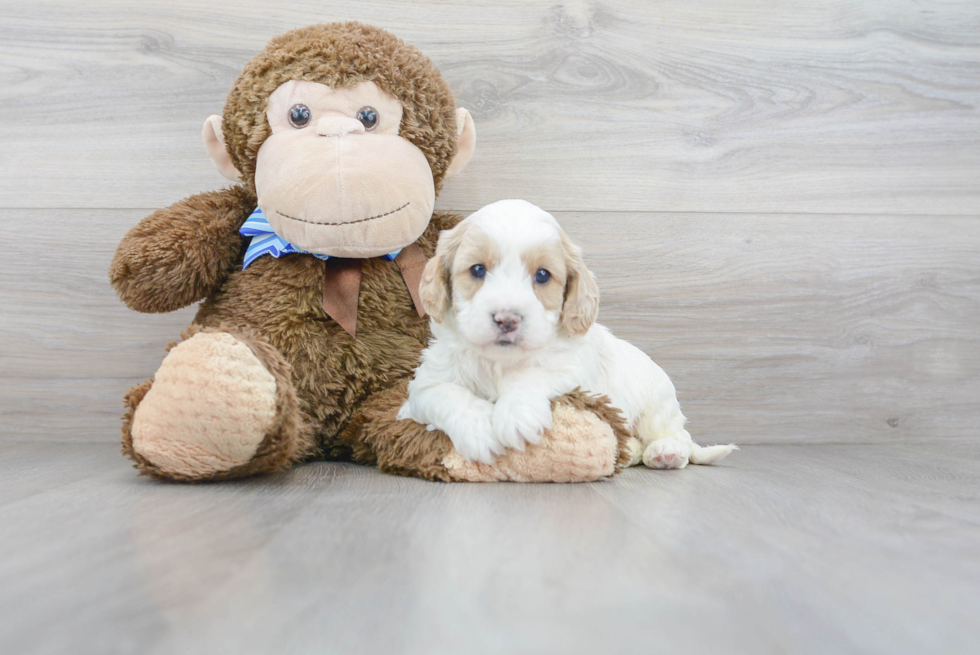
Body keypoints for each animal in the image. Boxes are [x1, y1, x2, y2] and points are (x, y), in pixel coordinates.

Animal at [398, 197, 736, 468]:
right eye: (478, 270)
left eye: (542, 275)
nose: (507, 319)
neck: (499, 361)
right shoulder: (424, 385)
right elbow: (445, 394)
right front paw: (479, 430)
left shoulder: (574, 370)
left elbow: (532, 374)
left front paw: (516, 416)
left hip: (657, 406)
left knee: (678, 436)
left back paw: (666, 452)